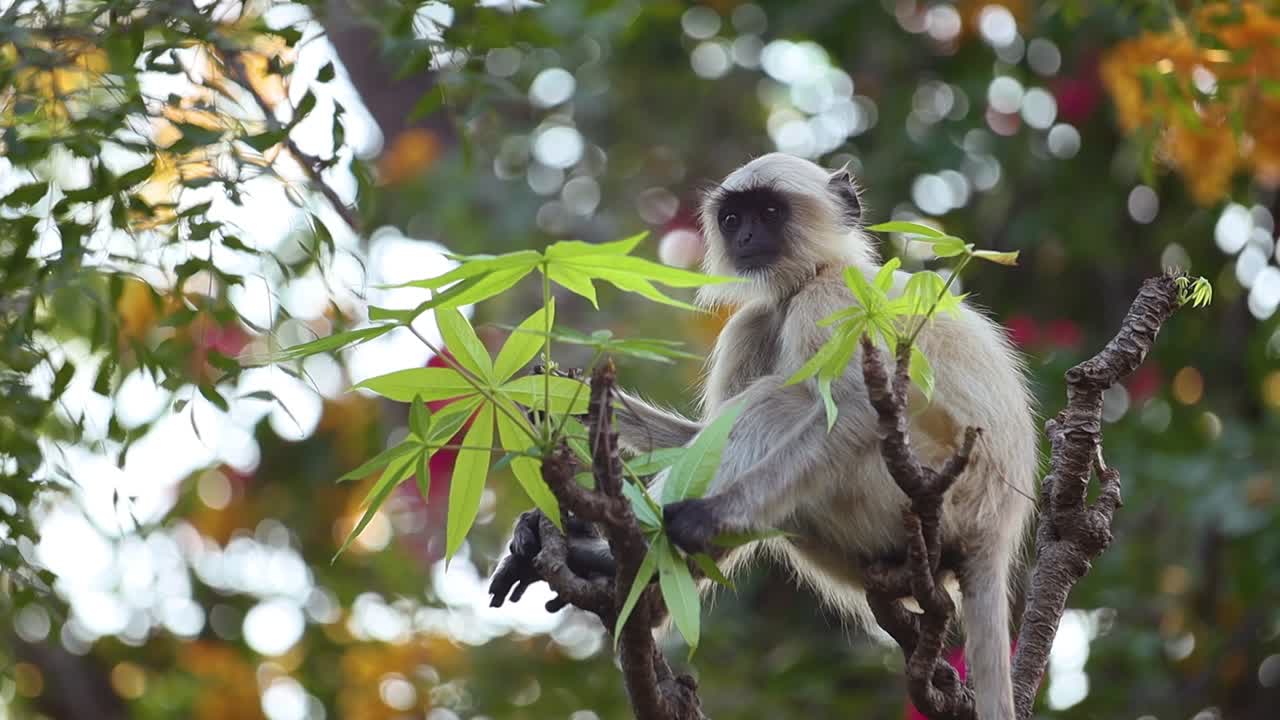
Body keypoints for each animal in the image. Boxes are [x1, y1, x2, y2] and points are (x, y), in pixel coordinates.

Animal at [492, 153, 1038, 720]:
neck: (812, 275)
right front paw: (562, 399)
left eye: (770, 212)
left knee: (778, 403)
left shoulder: (830, 299)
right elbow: (700, 433)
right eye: (733, 218)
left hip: (920, 497)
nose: (747, 236)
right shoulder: (756, 321)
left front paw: (706, 517)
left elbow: (857, 413)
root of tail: (995, 534)